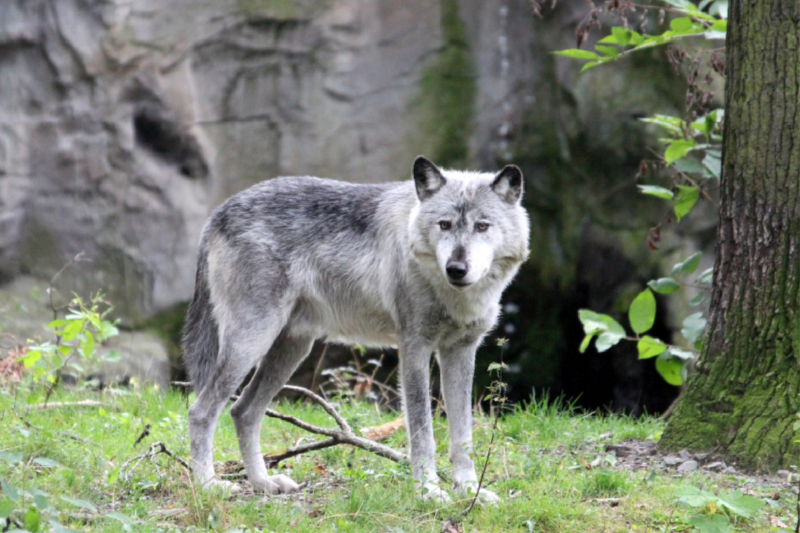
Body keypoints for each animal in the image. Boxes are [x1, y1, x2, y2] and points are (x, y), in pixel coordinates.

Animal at [184, 155, 528, 502]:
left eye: (482, 226)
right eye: (444, 225)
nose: (456, 269)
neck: (453, 296)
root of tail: (218, 212)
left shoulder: (461, 351)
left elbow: (463, 437)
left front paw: (469, 491)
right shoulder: (414, 348)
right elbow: (423, 433)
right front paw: (429, 491)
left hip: (291, 350)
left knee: (243, 411)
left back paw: (264, 483)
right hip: (251, 342)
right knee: (201, 412)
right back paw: (207, 486)